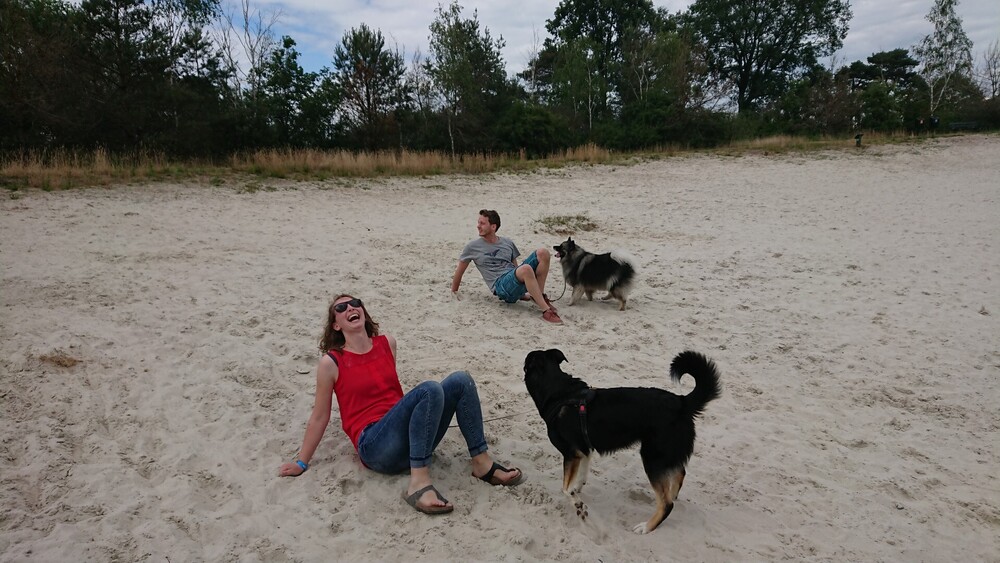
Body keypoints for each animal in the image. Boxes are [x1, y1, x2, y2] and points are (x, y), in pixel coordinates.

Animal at [523, 348, 721, 534]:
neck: (559, 393)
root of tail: (682, 403)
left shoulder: (572, 454)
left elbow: (565, 488)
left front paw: (577, 504)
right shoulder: (583, 451)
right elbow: (581, 477)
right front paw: (576, 491)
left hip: (652, 459)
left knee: (666, 503)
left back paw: (647, 526)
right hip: (666, 455)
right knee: (679, 474)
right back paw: (672, 495)